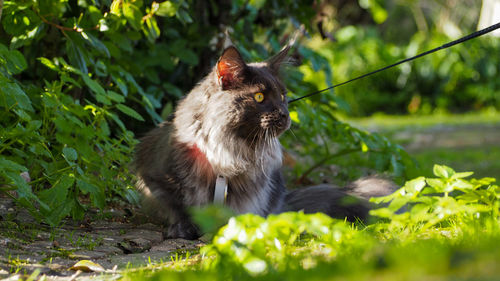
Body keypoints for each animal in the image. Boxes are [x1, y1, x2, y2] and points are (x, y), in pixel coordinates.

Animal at [132, 43, 394, 238]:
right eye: (259, 97)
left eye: (283, 97)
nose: (286, 115)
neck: (228, 148)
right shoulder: (154, 175)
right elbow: (176, 207)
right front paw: (183, 228)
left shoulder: (249, 193)